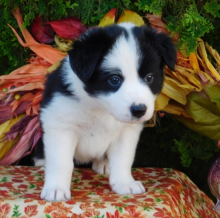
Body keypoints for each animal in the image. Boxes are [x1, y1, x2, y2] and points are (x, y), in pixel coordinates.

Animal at [34, 21, 175, 201]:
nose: (139, 110)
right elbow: (61, 161)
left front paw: (125, 183)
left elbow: (123, 158)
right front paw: (56, 188)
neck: (101, 108)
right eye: (114, 79)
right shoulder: (60, 125)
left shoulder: (127, 132)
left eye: (149, 77)